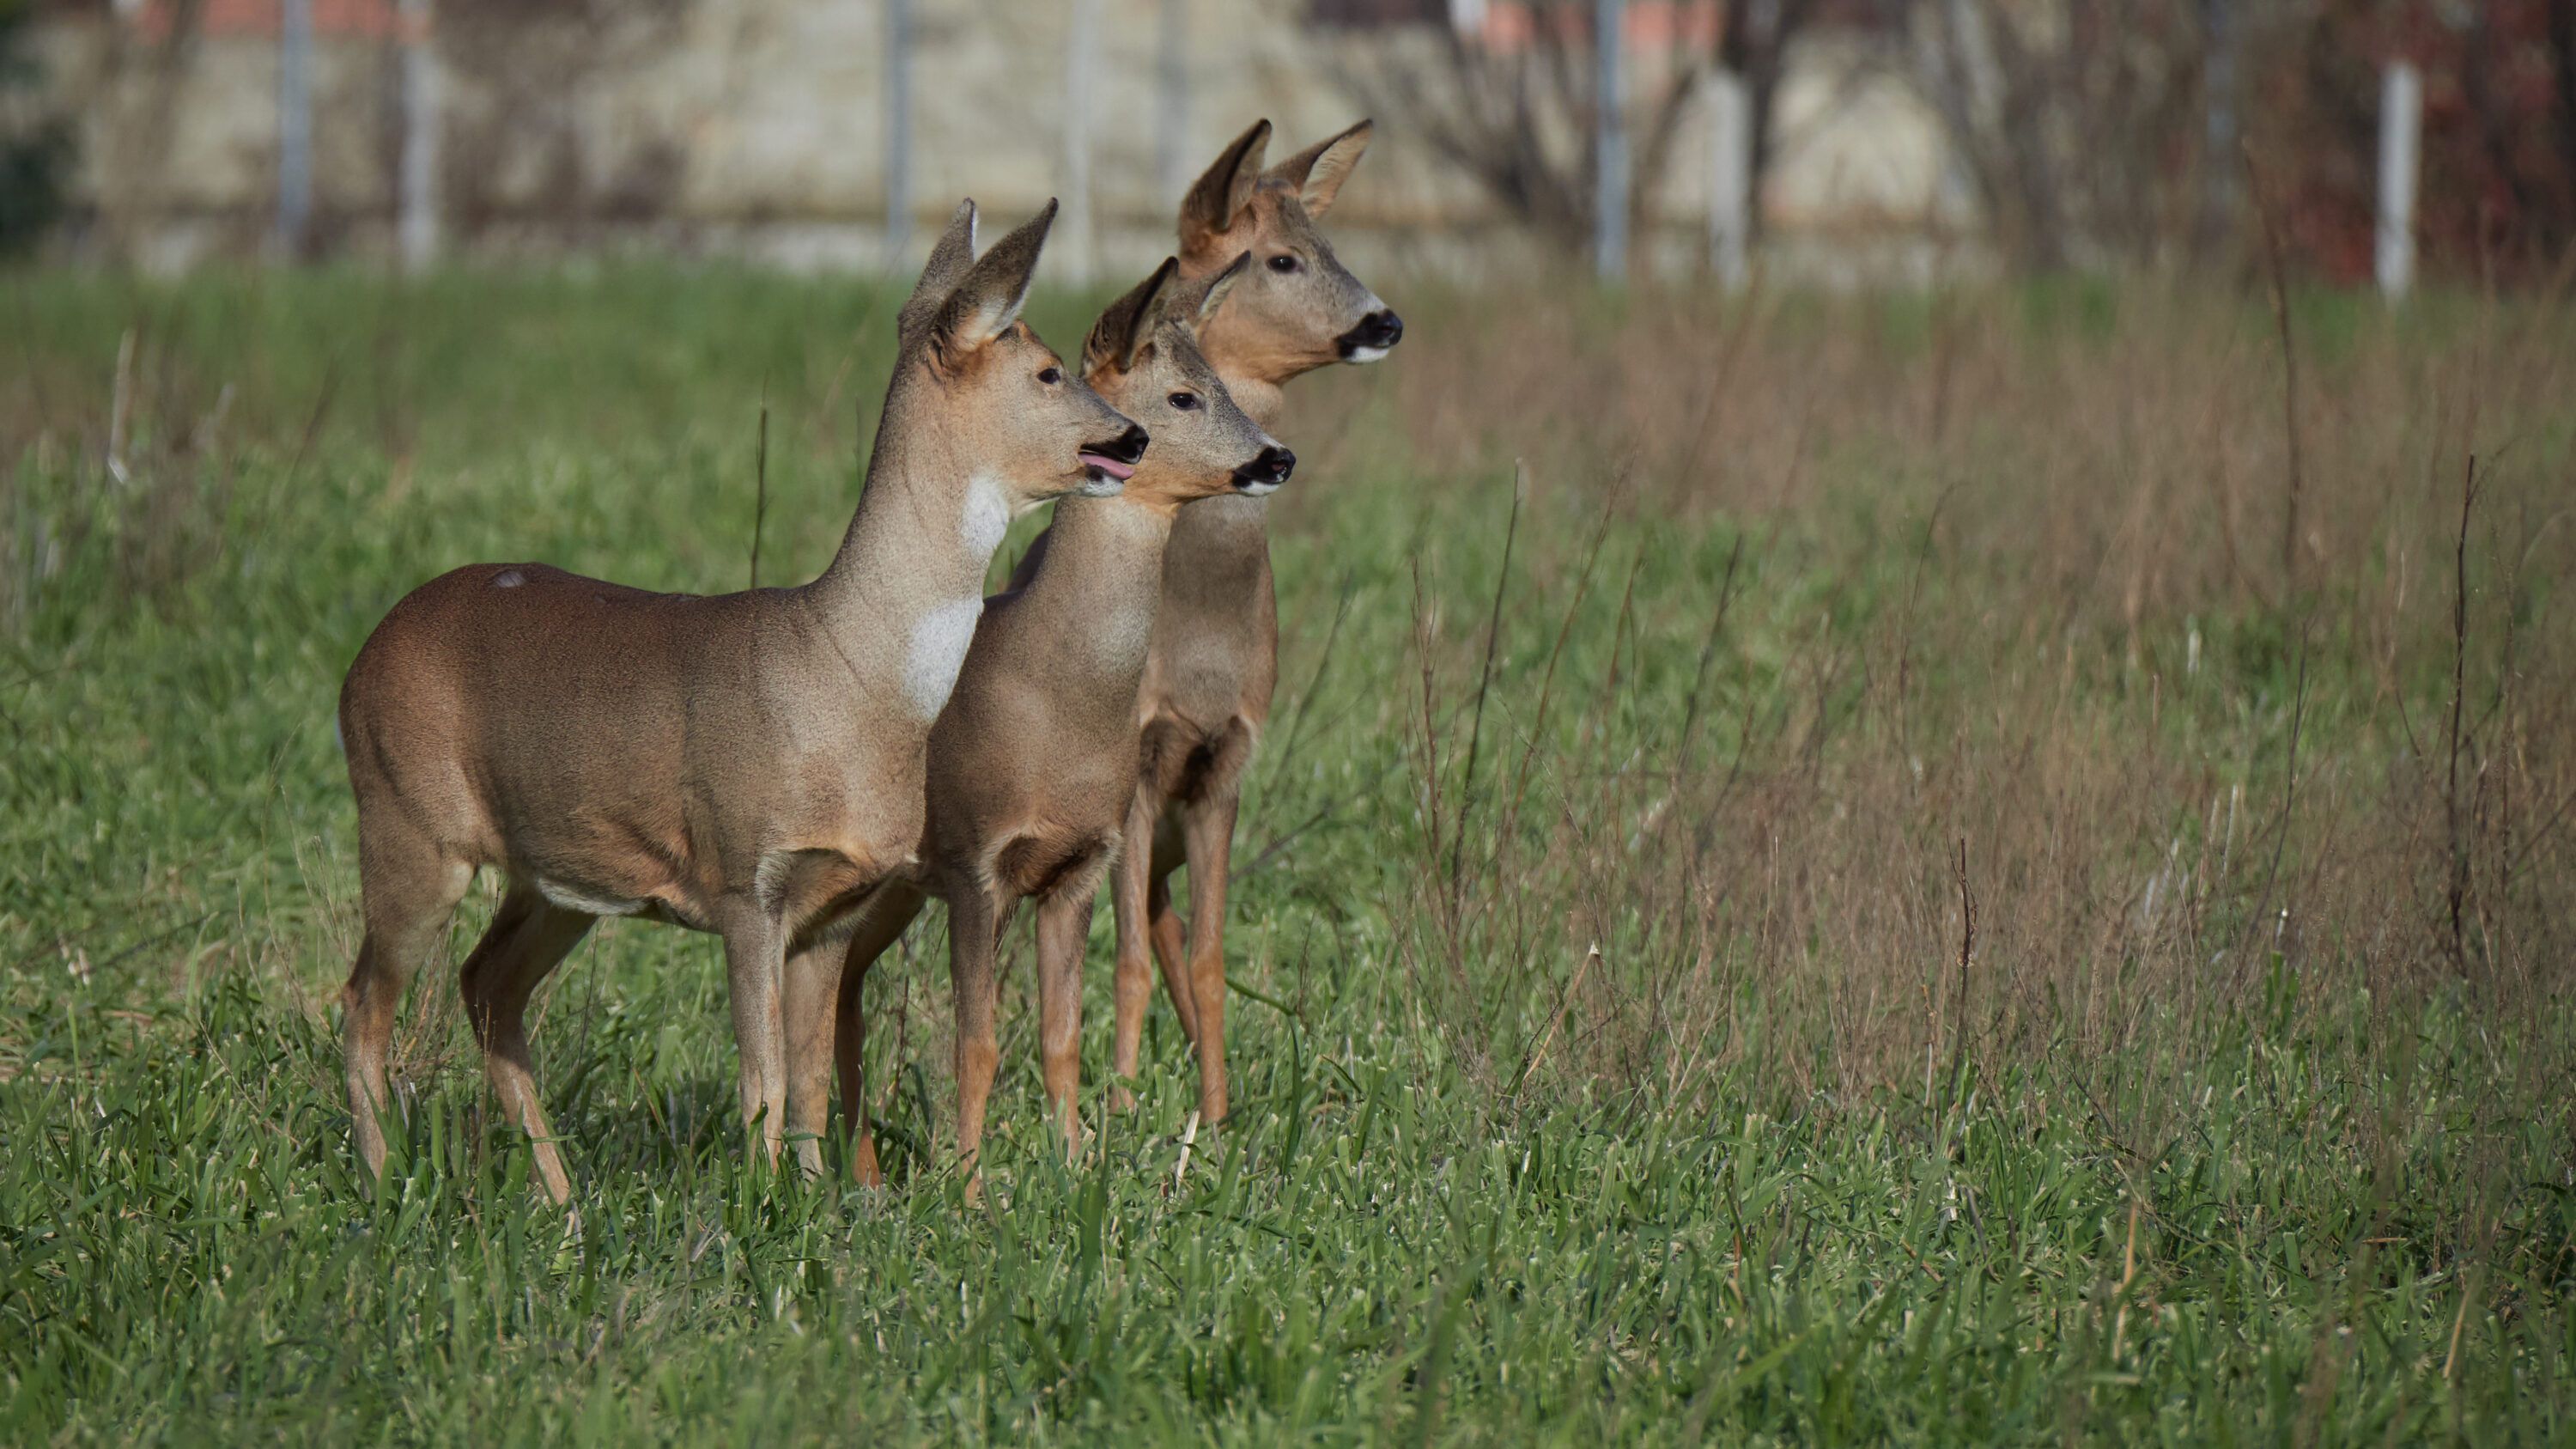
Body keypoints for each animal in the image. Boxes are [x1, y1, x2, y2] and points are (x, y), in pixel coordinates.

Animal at [334, 200, 1146, 1203]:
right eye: (1047, 370)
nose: (1132, 436)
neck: (844, 679)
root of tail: (358, 665)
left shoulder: (835, 902)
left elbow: (805, 1086)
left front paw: (818, 1207)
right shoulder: (742, 875)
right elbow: (762, 1082)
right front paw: (757, 1210)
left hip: (555, 872)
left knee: (487, 986)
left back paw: (563, 1204)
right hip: (410, 823)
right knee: (362, 1003)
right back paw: (383, 1188)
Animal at [786, 253, 1292, 1183]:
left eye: (1220, 380)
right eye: (1182, 396)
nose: (1278, 457)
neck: (1052, 698)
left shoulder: (1080, 863)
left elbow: (1062, 1036)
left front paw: (1077, 1166)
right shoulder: (975, 863)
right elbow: (977, 1044)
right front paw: (969, 1190)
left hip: (893, 890)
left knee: (842, 992)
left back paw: (866, 1175)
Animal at [1069, 119, 1403, 1131]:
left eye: (1328, 241)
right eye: (1282, 258)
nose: (1386, 321)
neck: (1198, 647)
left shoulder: (1226, 763)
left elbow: (1213, 955)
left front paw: (1216, 1120)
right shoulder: (1138, 764)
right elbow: (1125, 957)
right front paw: (1121, 1115)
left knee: (1167, 921)